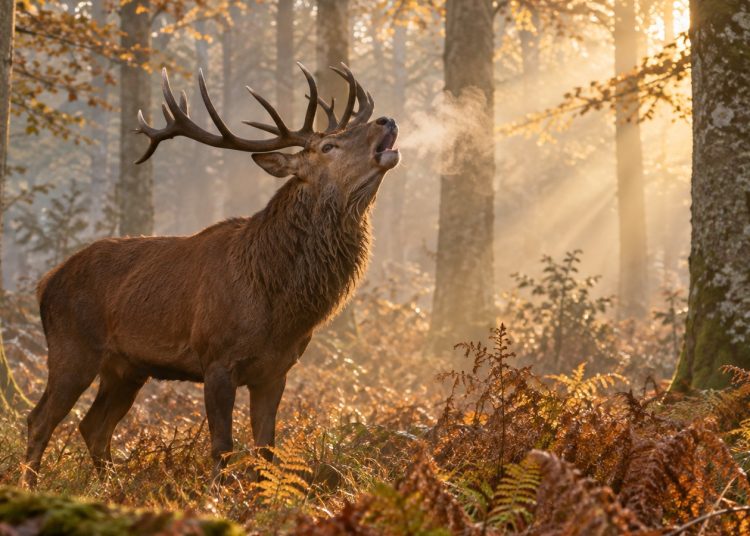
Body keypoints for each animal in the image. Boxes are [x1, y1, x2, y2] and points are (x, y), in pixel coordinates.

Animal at [21, 63, 399, 487]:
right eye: (328, 147)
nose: (386, 119)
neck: (277, 303)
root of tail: (46, 282)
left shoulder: (276, 369)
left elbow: (266, 449)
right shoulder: (216, 358)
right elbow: (222, 446)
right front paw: (217, 495)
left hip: (126, 368)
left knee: (93, 426)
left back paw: (109, 485)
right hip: (72, 348)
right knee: (39, 420)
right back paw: (30, 485)